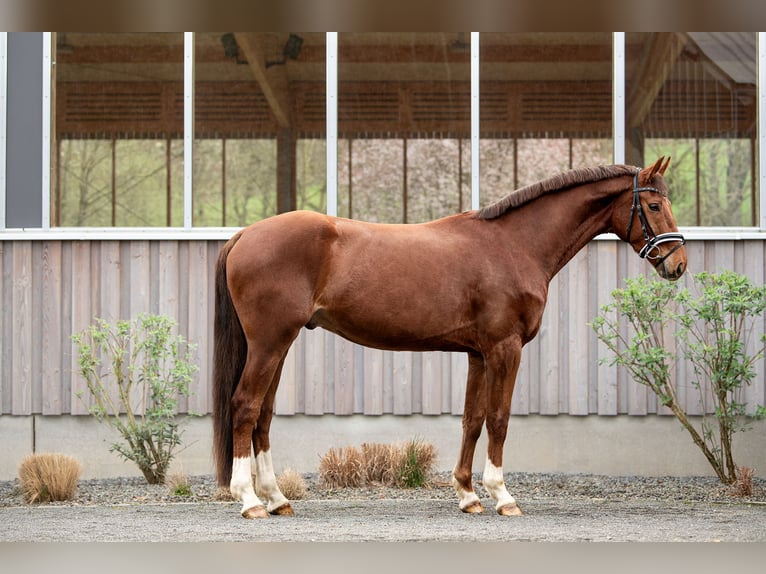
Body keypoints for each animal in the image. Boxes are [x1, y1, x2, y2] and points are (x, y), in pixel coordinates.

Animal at [212, 158, 688, 520]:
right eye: (653, 204)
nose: (678, 263)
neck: (514, 244)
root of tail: (245, 234)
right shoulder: (504, 349)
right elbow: (499, 418)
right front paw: (502, 496)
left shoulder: (478, 354)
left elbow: (472, 420)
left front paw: (468, 495)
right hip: (270, 342)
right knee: (246, 406)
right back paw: (250, 501)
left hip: (279, 344)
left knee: (263, 415)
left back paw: (277, 499)